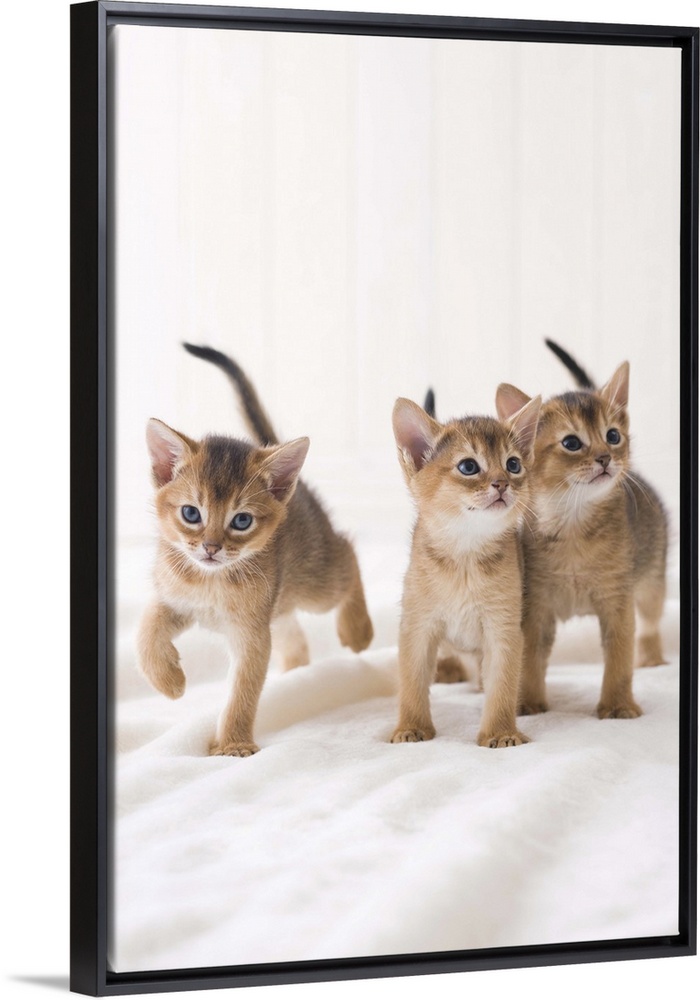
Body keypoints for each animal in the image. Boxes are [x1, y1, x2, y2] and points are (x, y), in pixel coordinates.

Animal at [137, 344, 374, 756]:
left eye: (242, 521)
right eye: (191, 513)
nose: (211, 547)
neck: (211, 579)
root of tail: (296, 487)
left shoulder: (251, 634)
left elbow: (243, 692)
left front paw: (233, 744)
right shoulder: (175, 600)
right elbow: (145, 630)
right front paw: (170, 681)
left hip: (316, 584)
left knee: (347, 551)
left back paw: (357, 630)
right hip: (279, 604)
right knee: (296, 638)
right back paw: (295, 676)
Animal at [390, 389, 542, 748]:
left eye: (513, 464)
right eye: (468, 466)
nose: (502, 484)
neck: (465, 556)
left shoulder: (503, 628)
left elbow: (502, 685)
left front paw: (501, 732)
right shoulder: (417, 626)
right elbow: (411, 681)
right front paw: (411, 727)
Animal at [496, 347, 668, 720]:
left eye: (613, 436)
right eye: (571, 443)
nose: (605, 458)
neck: (573, 526)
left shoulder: (618, 601)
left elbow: (619, 657)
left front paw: (618, 705)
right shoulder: (537, 607)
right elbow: (530, 657)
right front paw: (528, 701)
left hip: (652, 580)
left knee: (651, 622)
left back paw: (652, 658)